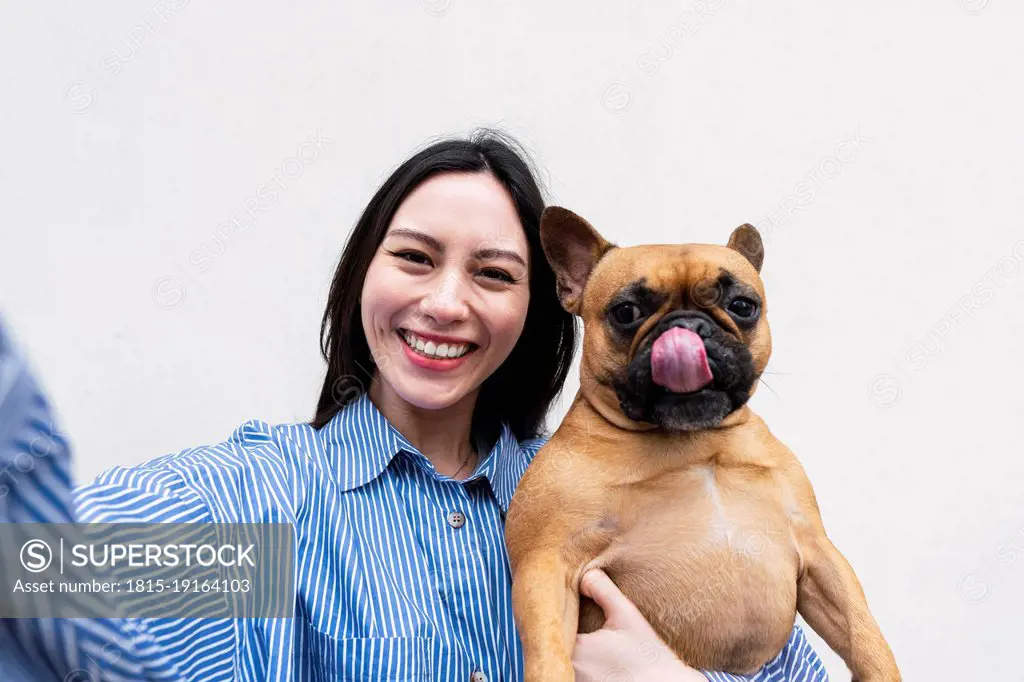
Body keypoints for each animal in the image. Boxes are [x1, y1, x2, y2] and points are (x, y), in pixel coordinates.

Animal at [503, 206, 897, 679]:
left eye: (743, 306)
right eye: (626, 311)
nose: (688, 325)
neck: (693, 441)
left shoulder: (819, 553)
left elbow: (863, 632)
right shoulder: (547, 566)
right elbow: (548, 654)